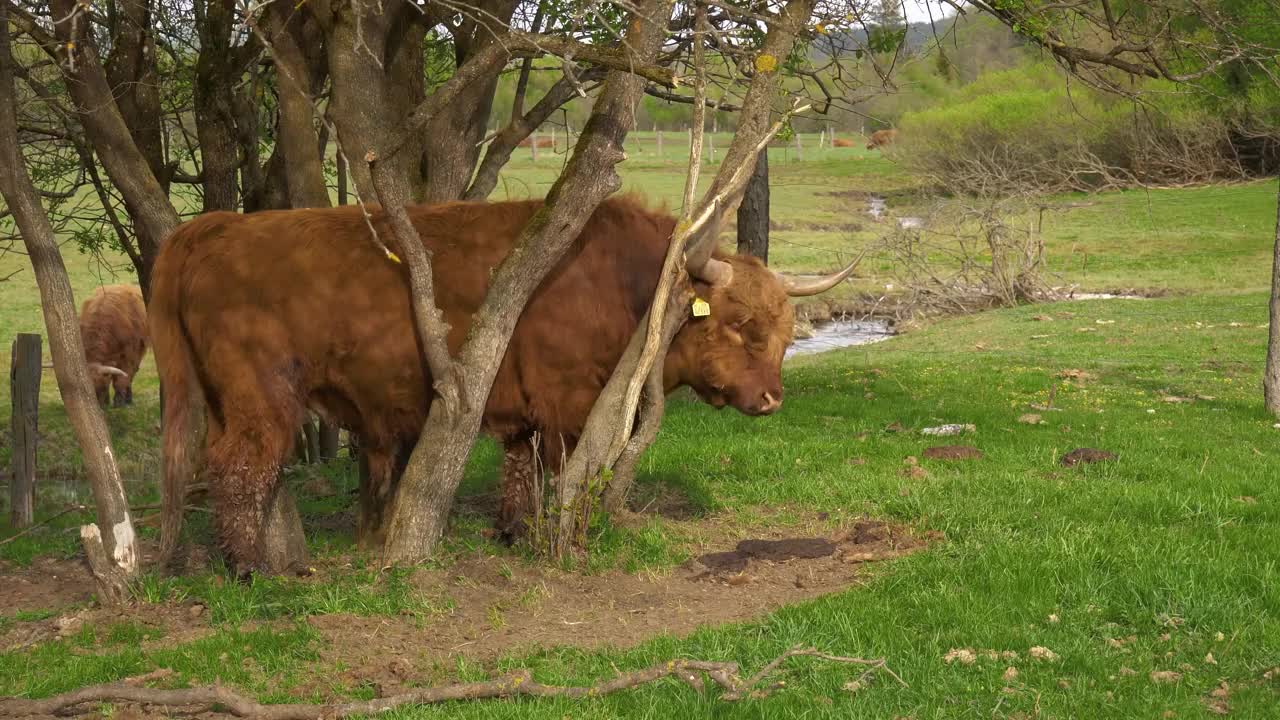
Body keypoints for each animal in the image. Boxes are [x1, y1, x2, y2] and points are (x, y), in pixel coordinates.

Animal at [152, 193, 860, 573]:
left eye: (788, 329)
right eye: (740, 324)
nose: (771, 398)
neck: (624, 285)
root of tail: (220, 225)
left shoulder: (525, 412)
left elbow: (519, 473)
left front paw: (514, 534)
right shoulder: (568, 408)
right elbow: (566, 478)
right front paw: (559, 541)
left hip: (223, 398)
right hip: (261, 397)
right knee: (238, 466)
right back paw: (249, 569)